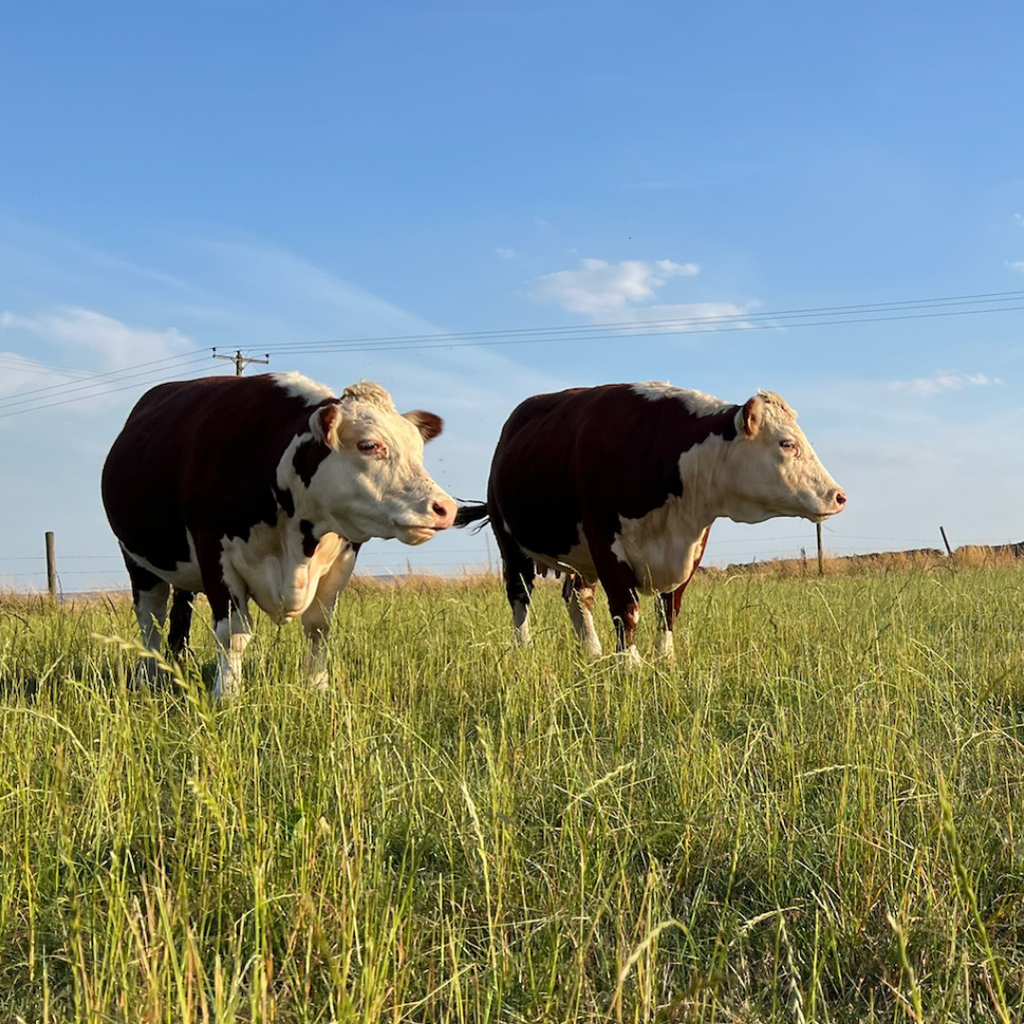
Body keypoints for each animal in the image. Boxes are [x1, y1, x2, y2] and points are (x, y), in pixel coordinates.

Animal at [101, 372, 456, 699]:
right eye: (369, 445)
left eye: (418, 451)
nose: (445, 508)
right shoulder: (214, 552)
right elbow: (232, 634)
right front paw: (227, 696)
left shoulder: (343, 557)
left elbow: (318, 628)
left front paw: (318, 689)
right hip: (137, 560)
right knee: (151, 619)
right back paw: (149, 679)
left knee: (178, 615)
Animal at [456, 383, 846, 661]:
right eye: (787, 443)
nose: (839, 495)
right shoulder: (606, 546)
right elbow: (626, 612)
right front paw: (629, 666)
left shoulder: (690, 550)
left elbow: (668, 610)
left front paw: (664, 660)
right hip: (511, 543)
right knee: (520, 597)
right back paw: (523, 649)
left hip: (579, 557)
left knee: (577, 596)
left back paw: (592, 653)